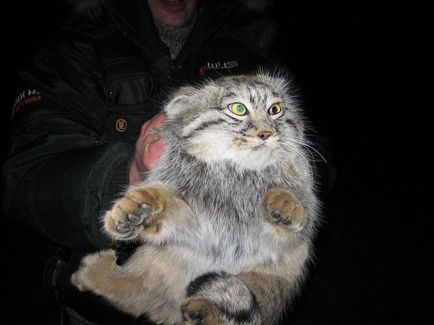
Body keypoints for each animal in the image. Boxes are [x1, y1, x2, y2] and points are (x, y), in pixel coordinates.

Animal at [72, 71, 322, 324]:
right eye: (239, 109)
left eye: (275, 109)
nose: (266, 133)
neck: (236, 170)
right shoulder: (193, 218)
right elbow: (170, 207)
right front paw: (141, 208)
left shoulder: (286, 235)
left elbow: (291, 219)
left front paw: (286, 203)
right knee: (133, 292)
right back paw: (95, 274)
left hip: (266, 283)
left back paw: (207, 310)